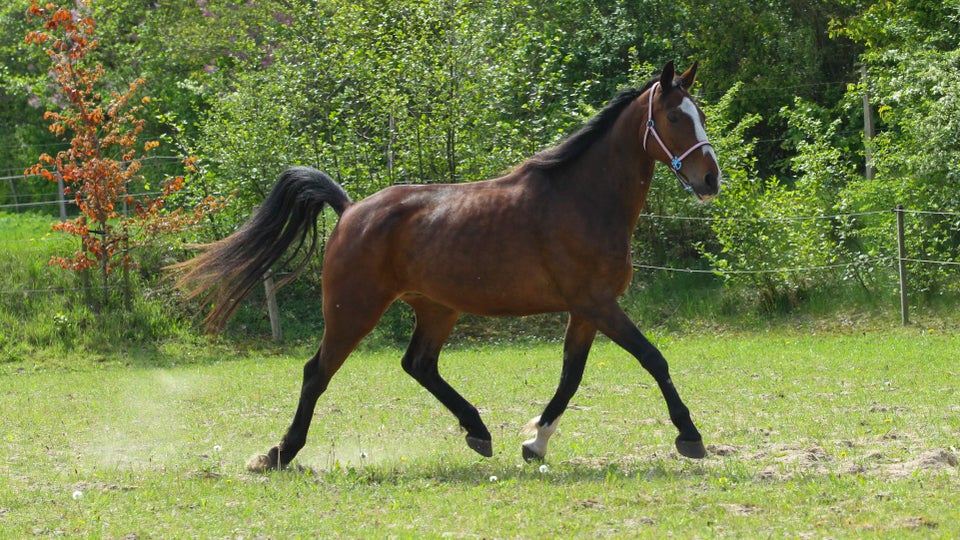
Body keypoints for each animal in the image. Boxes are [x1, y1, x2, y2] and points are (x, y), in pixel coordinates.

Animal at [172, 61, 720, 470]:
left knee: (418, 364)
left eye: (700, 114)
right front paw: (690, 436)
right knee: (317, 372)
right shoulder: (598, 304)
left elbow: (570, 376)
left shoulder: (586, 311)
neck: (581, 199)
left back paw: (477, 431)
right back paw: (279, 454)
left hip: (436, 309)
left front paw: (534, 444)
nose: (710, 179)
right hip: (353, 312)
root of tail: (349, 210)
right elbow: (653, 359)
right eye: (675, 118)